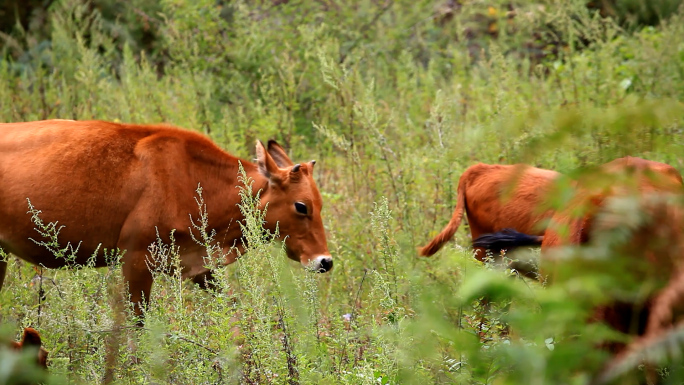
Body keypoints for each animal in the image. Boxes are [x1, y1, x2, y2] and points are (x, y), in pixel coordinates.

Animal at [0, 120, 332, 318]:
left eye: (319, 203)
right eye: (301, 206)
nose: (325, 261)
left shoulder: (201, 268)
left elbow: (232, 311)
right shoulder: (136, 259)